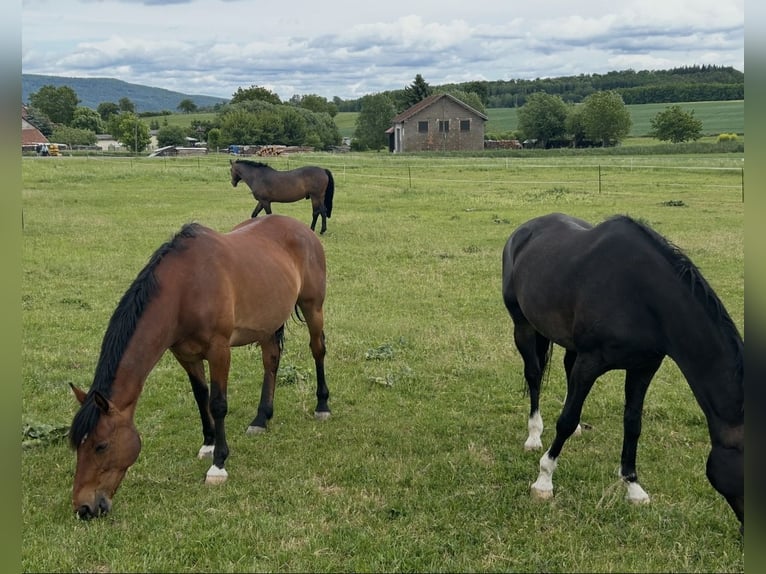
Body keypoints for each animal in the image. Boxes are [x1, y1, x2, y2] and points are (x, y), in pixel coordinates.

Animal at [68, 214, 331, 520]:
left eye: (101, 446)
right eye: (77, 445)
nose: (84, 507)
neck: (184, 289)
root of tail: (302, 228)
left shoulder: (219, 351)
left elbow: (217, 403)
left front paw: (218, 464)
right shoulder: (186, 356)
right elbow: (200, 397)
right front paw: (208, 443)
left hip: (313, 307)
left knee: (317, 350)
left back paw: (322, 405)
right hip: (267, 322)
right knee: (271, 361)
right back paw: (260, 419)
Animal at [501, 212, 743, 532]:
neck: (642, 297)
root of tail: (524, 229)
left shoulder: (644, 367)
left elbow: (632, 424)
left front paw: (633, 487)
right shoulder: (591, 361)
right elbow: (565, 420)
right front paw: (544, 481)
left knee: (566, 368)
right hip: (523, 326)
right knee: (534, 375)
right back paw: (534, 435)